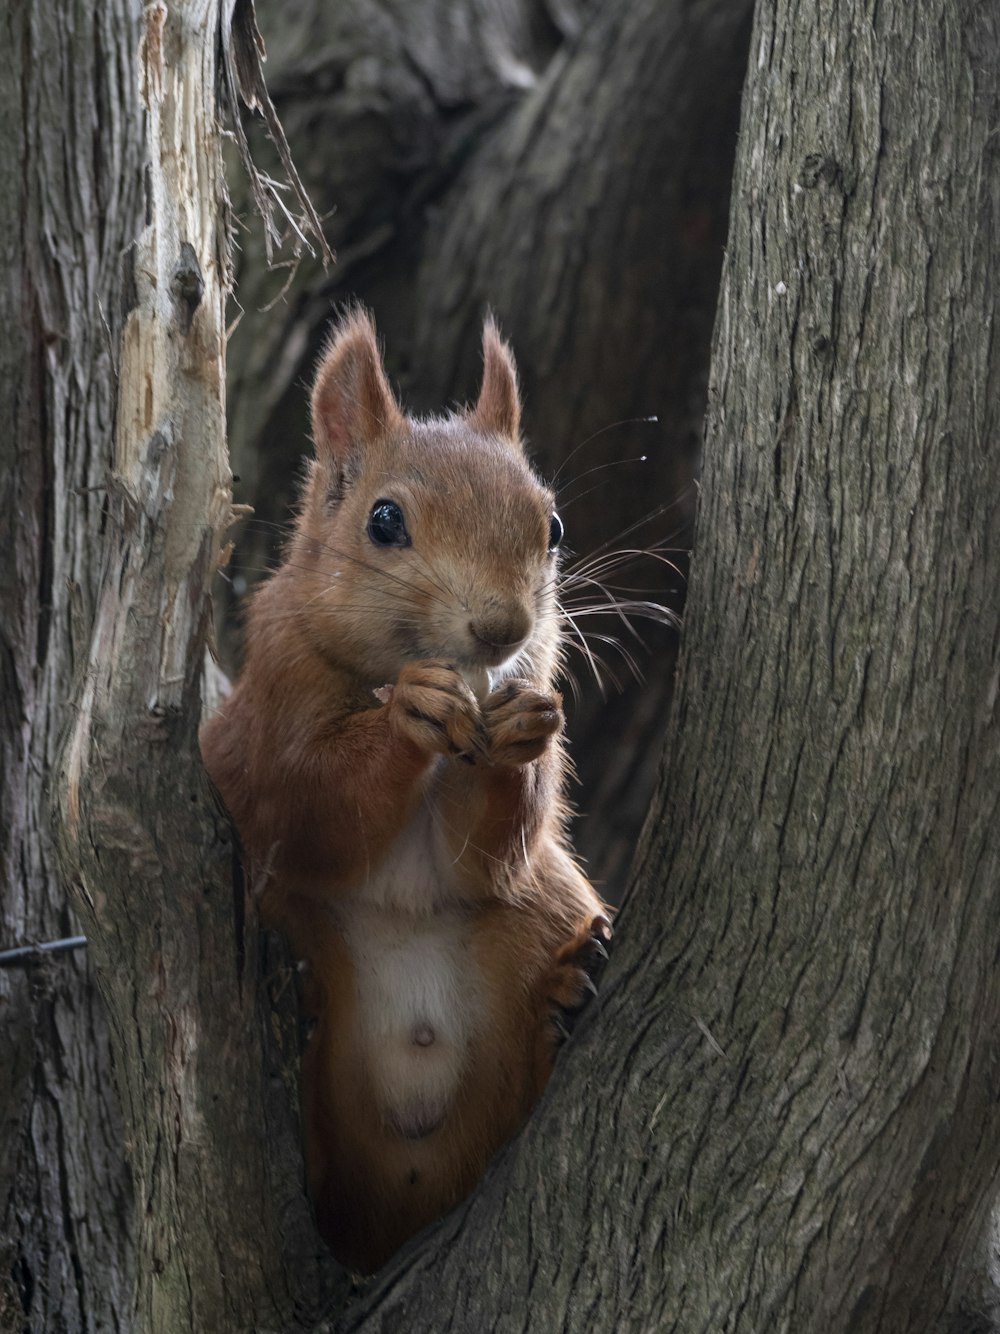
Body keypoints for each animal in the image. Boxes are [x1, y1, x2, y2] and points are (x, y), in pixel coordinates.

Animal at [201, 309, 616, 1269]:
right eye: (384, 521)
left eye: (554, 525)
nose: (503, 628)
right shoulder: (267, 714)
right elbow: (312, 801)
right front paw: (407, 716)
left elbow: (487, 859)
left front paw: (521, 736)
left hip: (541, 913)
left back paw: (566, 1000)